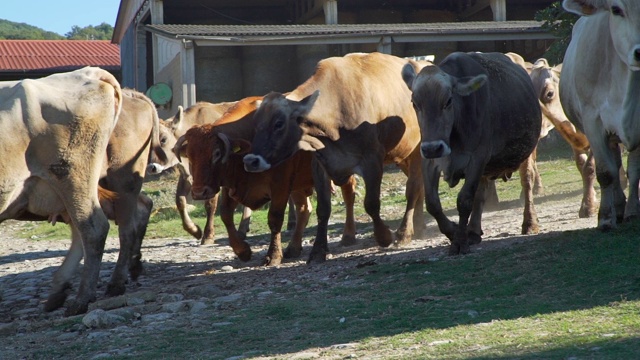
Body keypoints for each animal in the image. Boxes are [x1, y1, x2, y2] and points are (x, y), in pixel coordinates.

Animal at [172, 97, 358, 266]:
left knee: (349, 195)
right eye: (189, 155)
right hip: (298, 185)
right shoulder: (232, 185)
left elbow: (274, 219)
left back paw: (348, 236)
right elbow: (225, 214)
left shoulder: (280, 184)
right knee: (304, 209)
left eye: (217, 153)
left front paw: (273, 255)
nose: (199, 192)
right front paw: (242, 250)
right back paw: (293, 248)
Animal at [242, 52, 428, 262]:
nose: (250, 161)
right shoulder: (321, 163)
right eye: (256, 123)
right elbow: (323, 209)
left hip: (417, 149)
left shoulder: (372, 160)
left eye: (279, 123)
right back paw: (419, 226)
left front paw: (384, 236)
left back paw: (404, 233)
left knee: (413, 188)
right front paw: (317, 250)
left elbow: (371, 203)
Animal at [404, 52, 540, 256]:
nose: (432, 148)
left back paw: (530, 223)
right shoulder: (430, 161)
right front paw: (454, 232)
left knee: (527, 182)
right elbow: (433, 203)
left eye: (448, 101)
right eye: (415, 103)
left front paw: (460, 241)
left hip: (526, 151)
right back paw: (474, 231)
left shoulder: (477, 157)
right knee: (481, 193)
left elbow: (465, 200)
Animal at [560, 0, 640, 229]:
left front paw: (633, 212)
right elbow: (606, 172)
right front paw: (605, 218)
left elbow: (634, 171)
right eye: (616, 9)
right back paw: (617, 208)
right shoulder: (593, 121)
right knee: (614, 165)